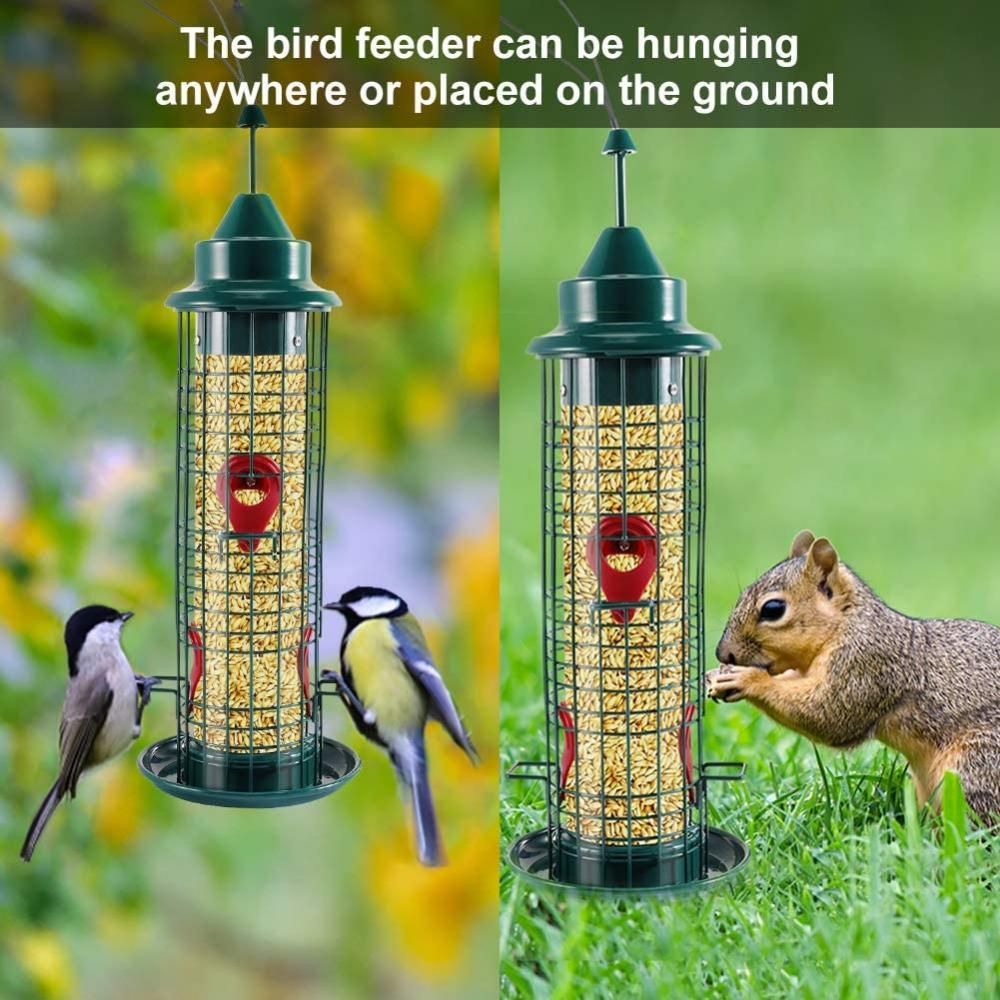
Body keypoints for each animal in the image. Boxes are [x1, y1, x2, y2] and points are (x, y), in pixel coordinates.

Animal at [707, 530, 1000, 820]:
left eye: (773, 609)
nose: (723, 653)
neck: (845, 624)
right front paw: (713, 677)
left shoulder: (866, 663)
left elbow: (829, 714)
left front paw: (746, 679)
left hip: (974, 766)